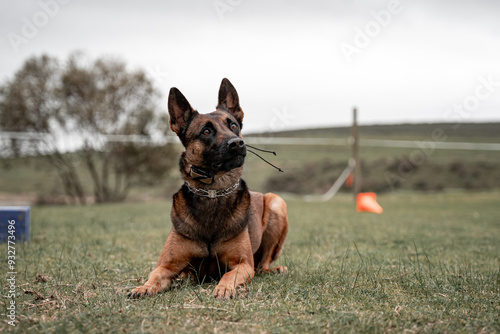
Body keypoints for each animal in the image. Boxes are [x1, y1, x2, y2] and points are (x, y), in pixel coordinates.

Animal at [129, 79, 290, 300]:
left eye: (233, 125)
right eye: (206, 131)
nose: (237, 143)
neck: (213, 193)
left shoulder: (242, 264)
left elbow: (229, 275)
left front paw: (224, 288)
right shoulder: (166, 265)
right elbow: (155, 275)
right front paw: (143, 287)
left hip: (276, 202)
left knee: (263, 265)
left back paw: (275, 269)